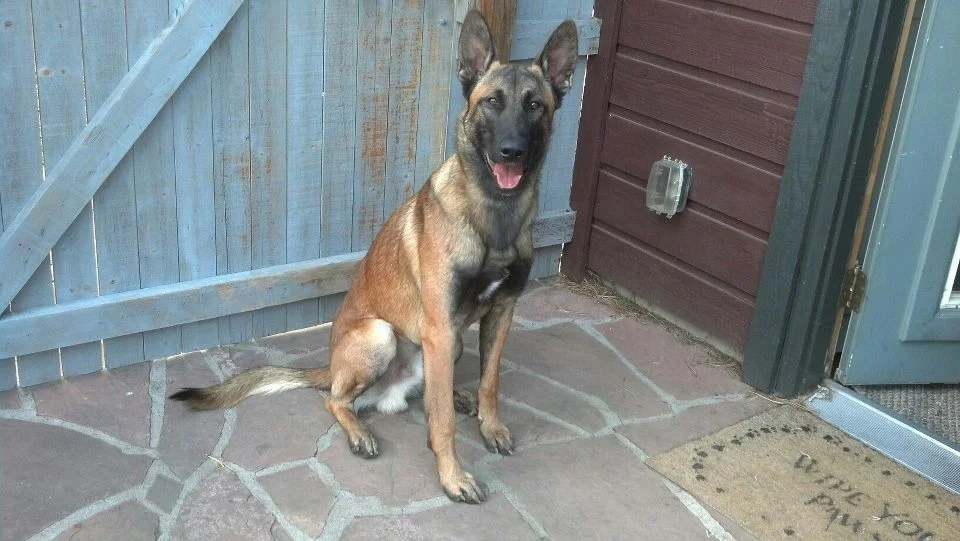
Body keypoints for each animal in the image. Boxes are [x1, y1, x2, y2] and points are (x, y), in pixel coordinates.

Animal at [170, 10, 578, 504]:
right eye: (492, 102)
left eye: (535, 105)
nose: (511, 152)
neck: (494, 215)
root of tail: (332, 368)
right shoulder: (440, 326)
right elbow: (441, 424)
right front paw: (453, 476)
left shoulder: (500, 313)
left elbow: (490, 382)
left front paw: (489, 424)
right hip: (383, 335)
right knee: (337, 400)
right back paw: (360, 431)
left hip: (449, 342)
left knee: (428, 393)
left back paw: (455, 398)